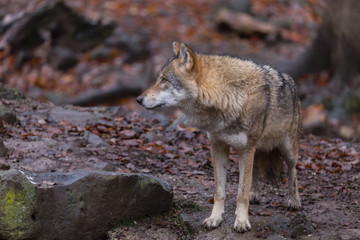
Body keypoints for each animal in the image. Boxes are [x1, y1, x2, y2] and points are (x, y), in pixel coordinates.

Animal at [136, 42, 302, 232]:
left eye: (164, 80)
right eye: (158, 79)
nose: (138, 99)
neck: (228, 97)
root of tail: (291, 80)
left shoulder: (246, 149)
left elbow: (241, 193)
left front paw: (242, 222)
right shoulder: (218, 147)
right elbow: (220, 191)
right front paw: (215, 218)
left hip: (287, 150)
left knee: (292, 171)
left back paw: (294, 201)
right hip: (257, 149)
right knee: (254, 173)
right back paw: (255, 194)